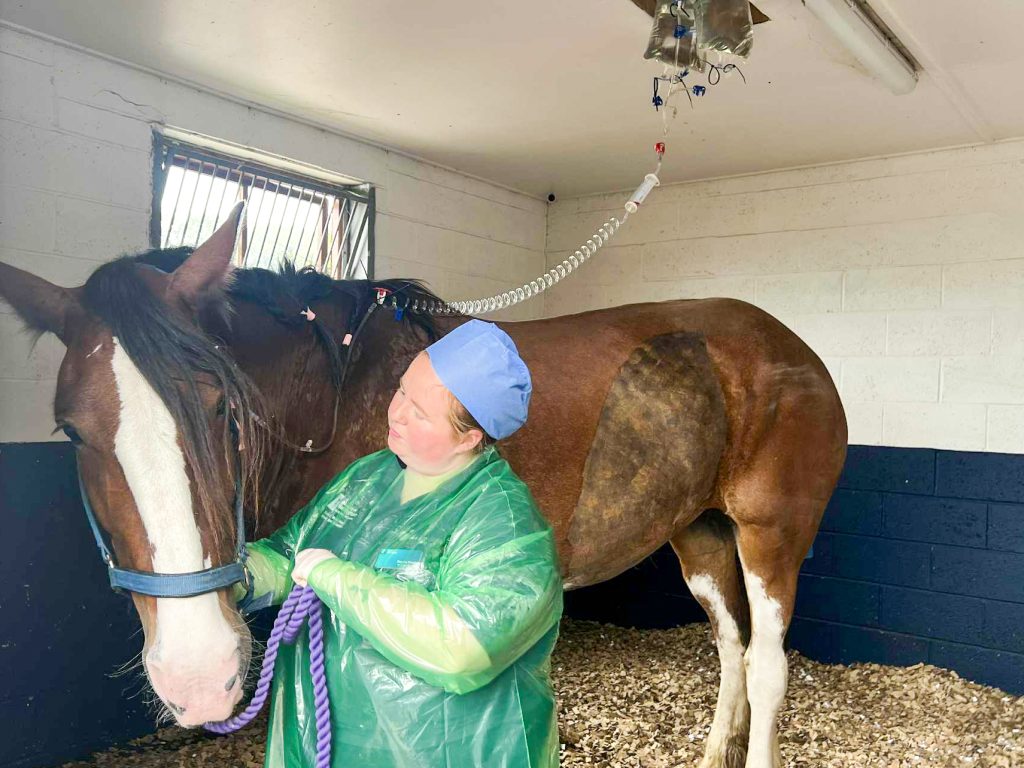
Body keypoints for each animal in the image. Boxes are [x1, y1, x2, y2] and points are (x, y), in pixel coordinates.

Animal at [0, 204, 846, 768]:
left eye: (221, 407)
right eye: (72, 430)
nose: (197, 676)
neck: (331, 390)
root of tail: (796, 351)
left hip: (770, 538)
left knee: (766, 664)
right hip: (697, 533)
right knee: (730, 646)